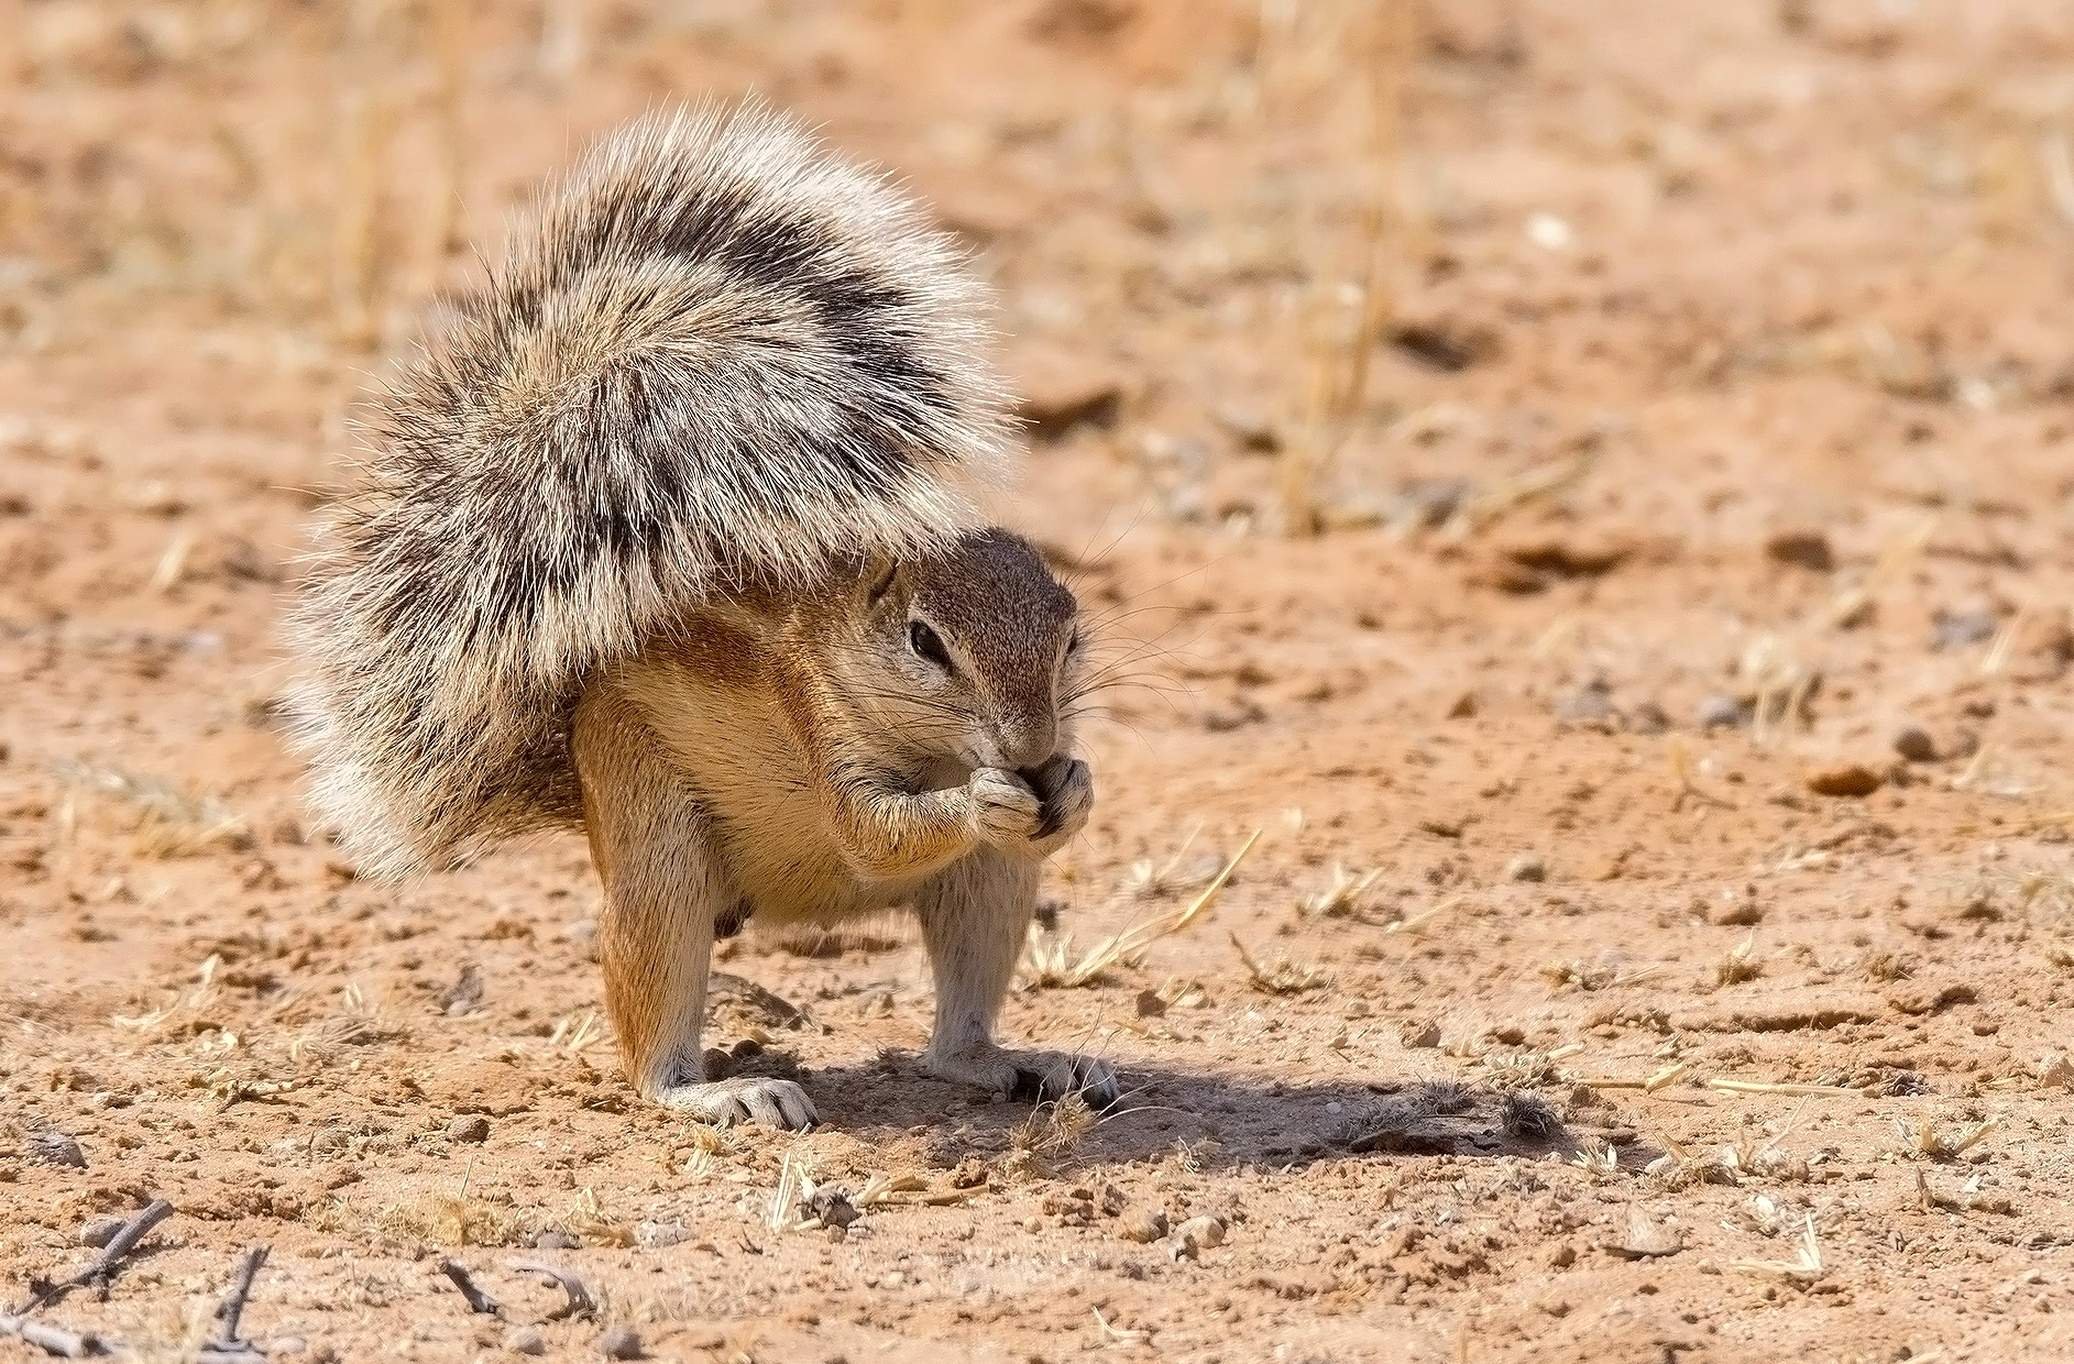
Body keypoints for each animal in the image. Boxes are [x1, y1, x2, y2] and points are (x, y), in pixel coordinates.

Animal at [288, 103, 1119, 1127]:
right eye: (925, 641)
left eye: (1072, 632)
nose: (1034, 752)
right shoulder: (817, 717)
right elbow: (871, 830)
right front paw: (980, 798)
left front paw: (1076, 784)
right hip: (652, 844)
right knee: (653, 1029)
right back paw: (721, 1093)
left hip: (992, 884)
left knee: (952, 1039)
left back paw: (1026, 1062)